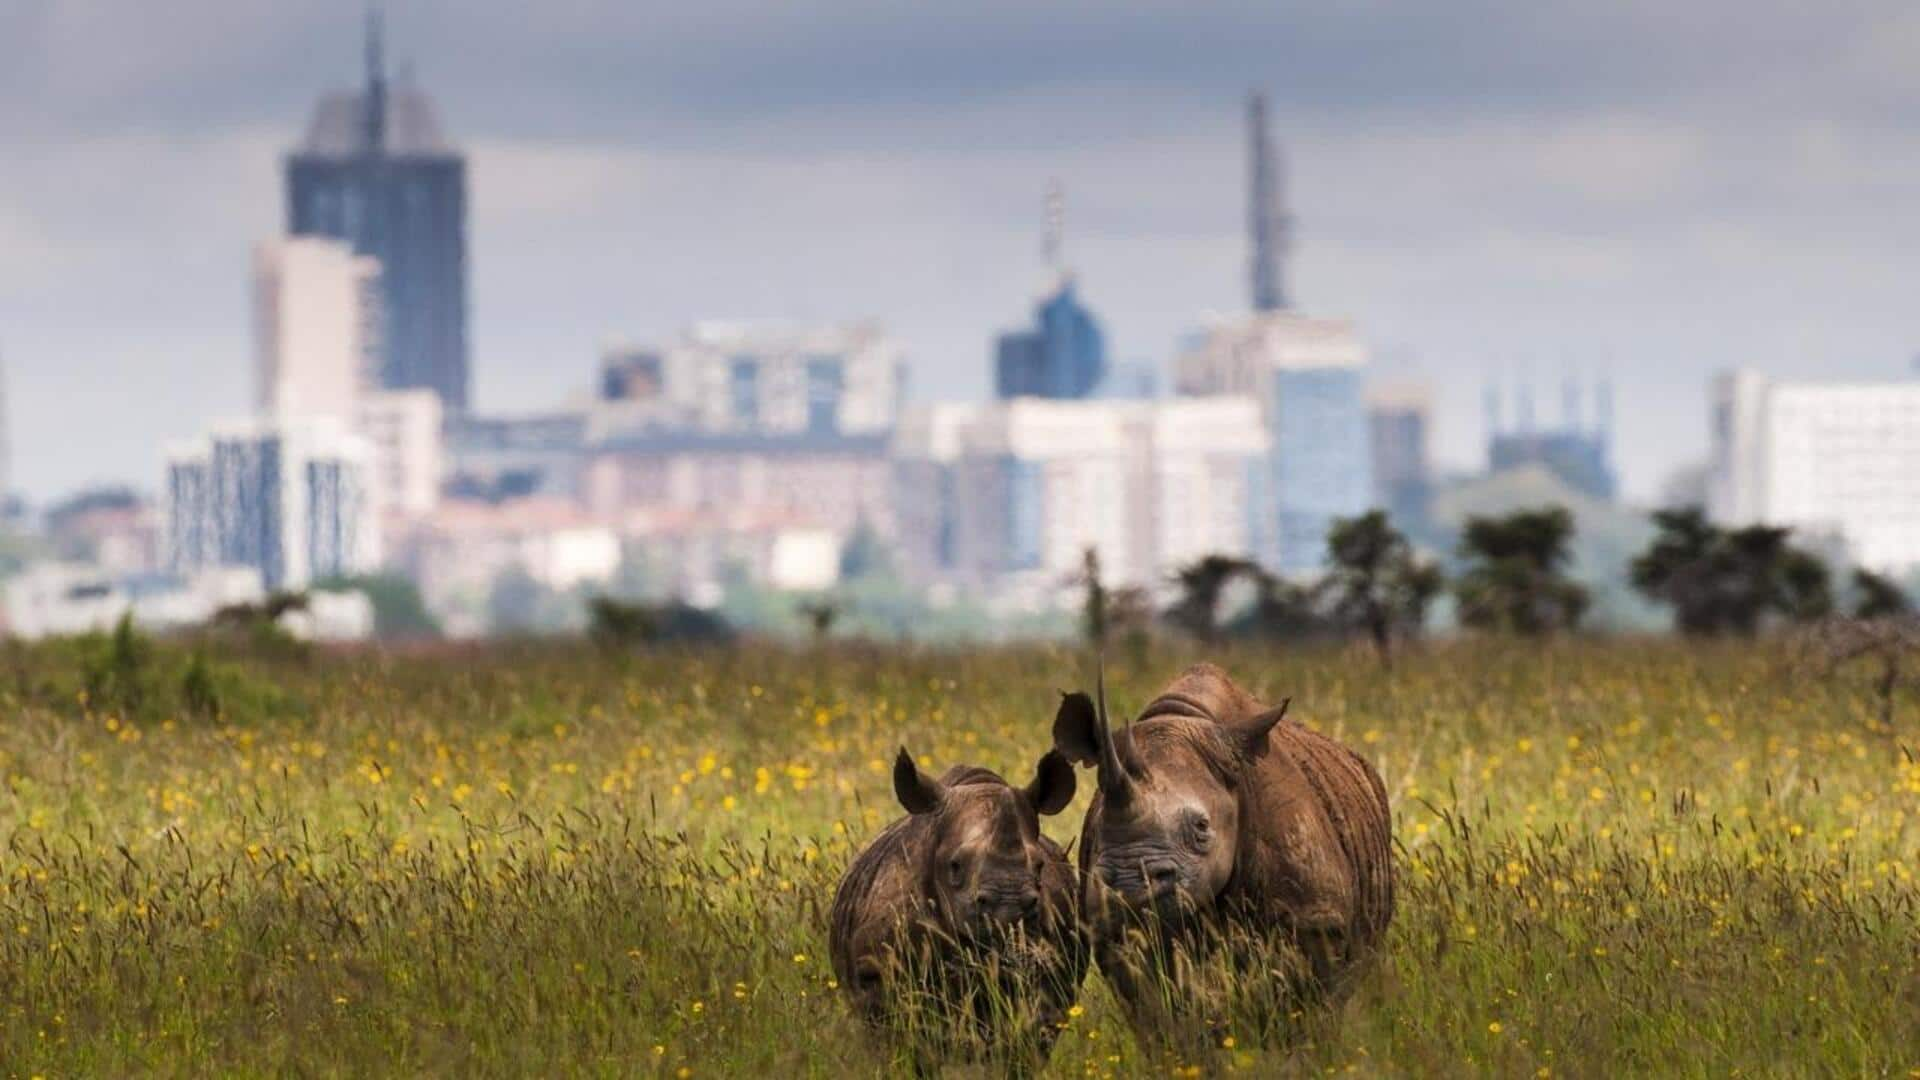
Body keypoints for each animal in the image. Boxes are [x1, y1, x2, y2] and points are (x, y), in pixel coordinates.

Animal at [829, 749, 1090, 1068]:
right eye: (955, 865)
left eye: (1040, 866)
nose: (1008, 911)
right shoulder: (875, 973)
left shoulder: (1052, 971)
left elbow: (1026, 1040)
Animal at [1052, 664, 1397, 1022]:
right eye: (1097, 829)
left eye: (1202, 827)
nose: (1130, 886)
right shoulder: (1116, 935)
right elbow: (1160, 1008)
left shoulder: (1316, 918)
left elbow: (1304, 1002)